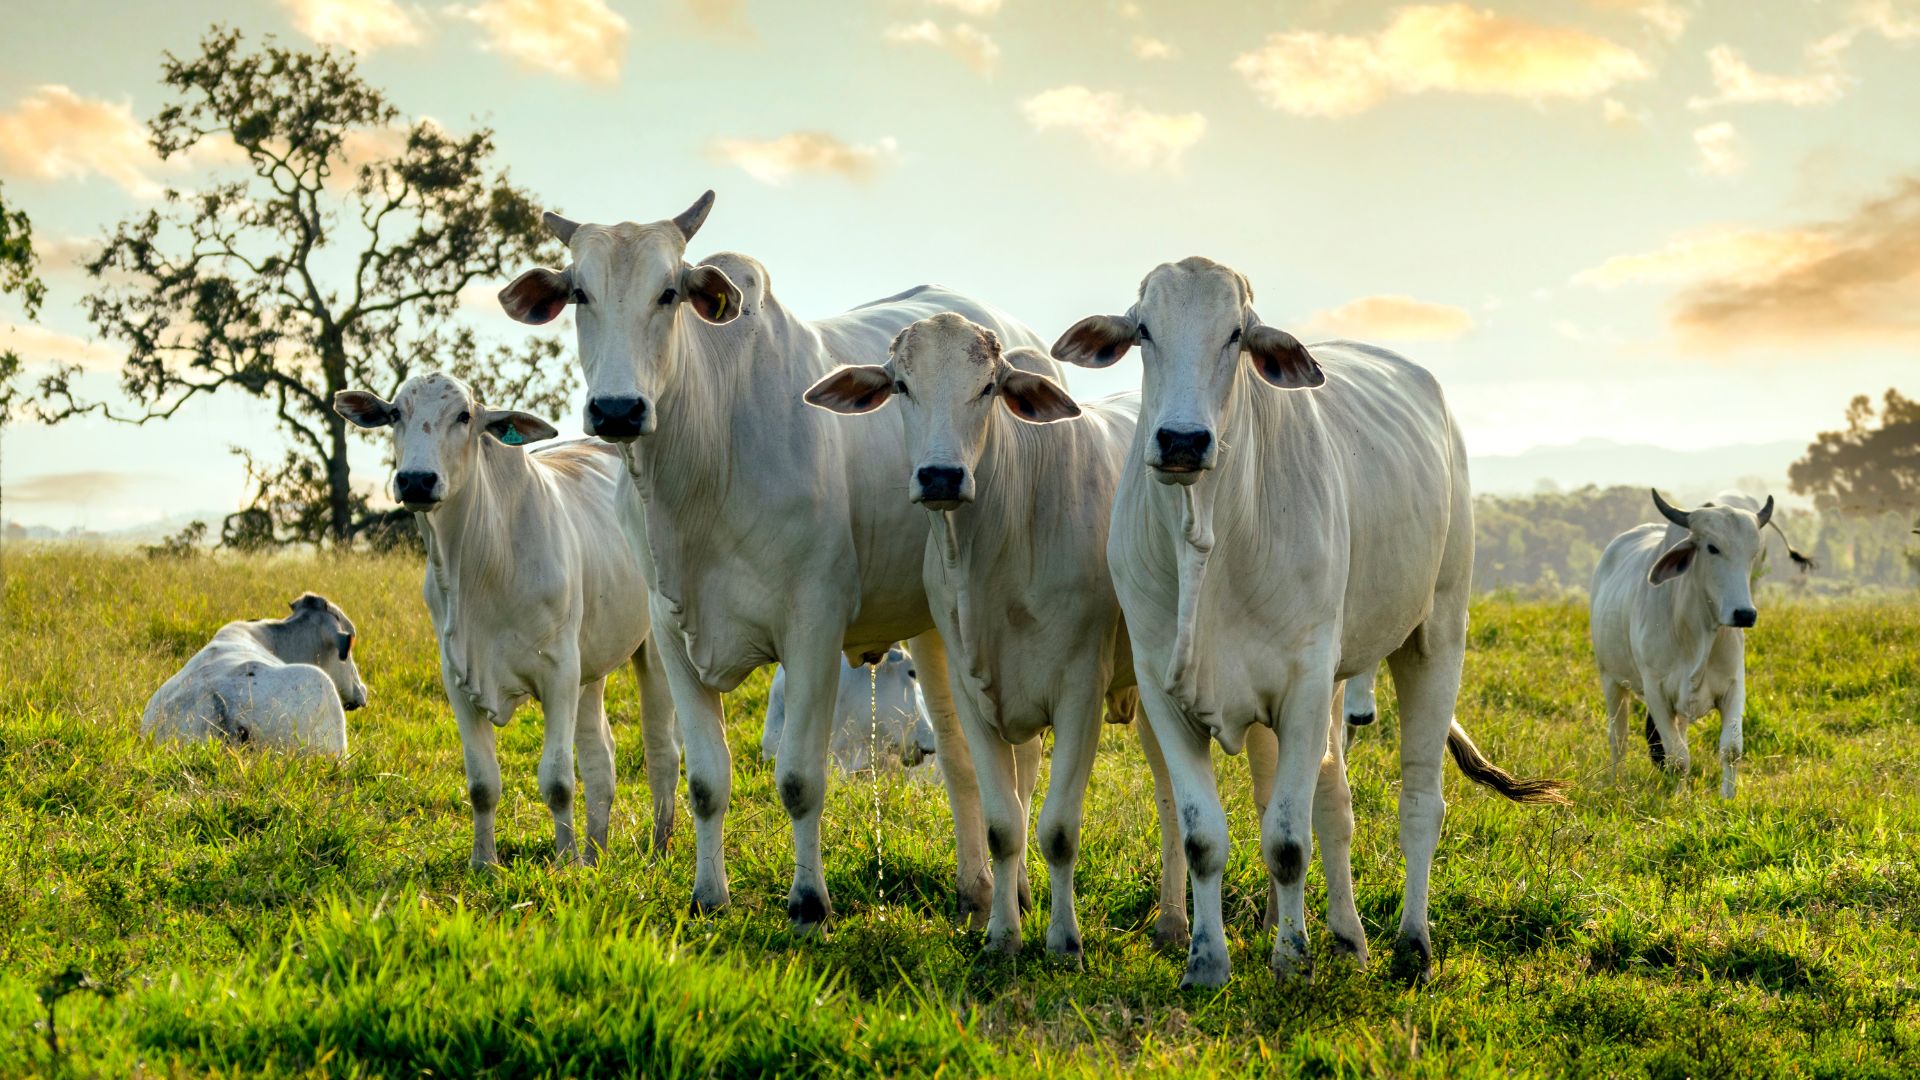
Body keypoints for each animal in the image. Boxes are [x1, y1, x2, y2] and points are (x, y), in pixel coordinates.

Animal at [337, 374, 683, 860]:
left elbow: (557, 780)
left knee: (661, 750)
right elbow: (483, 783)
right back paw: (595, 853)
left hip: (651, 649)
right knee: (601, 758)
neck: (479, 564)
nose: (416, 480)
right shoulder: (458, 678)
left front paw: (565, 862)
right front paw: (484, 862)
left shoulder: (559, 672)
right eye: (394, 414)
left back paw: (657, 849)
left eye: (464, 416)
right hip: (591, 665)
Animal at [794, 313, 1182, 957]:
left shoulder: (1081, 692)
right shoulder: (973, 695)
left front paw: (1064, 942)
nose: (940, 476)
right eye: (902, 385)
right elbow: (1005, 826)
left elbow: (1058, 829)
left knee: (1175, 796)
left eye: (988, 388)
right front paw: (1002, 934)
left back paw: (1177, 922)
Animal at [1059, 259, 1566, 983]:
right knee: (1335, 802)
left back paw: (1411, 944)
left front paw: (1291, 958)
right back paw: (1349, 937)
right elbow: (1205, 836)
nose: (1182, 440)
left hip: (1435, 633)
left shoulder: (1300, 685)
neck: (1208, 533)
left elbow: (1287, 843)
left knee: (1420, 803)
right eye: (1144, 330)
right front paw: (1207, 960)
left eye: (1236, 334)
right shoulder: (1165, 691)